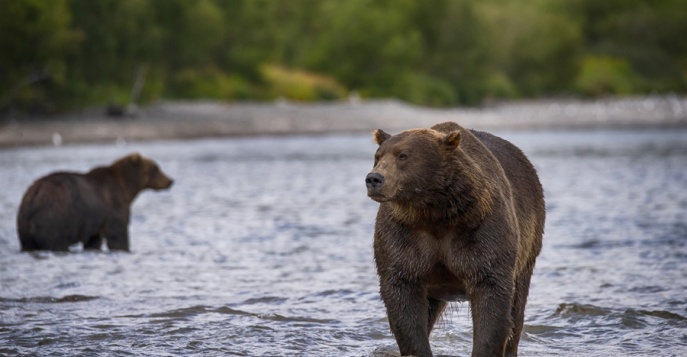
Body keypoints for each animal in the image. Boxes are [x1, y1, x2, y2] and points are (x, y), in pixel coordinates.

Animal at [17, 152, 173, 250]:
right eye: (156, 168)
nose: (170, 180)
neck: (127, 187)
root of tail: (33, 197)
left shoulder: (95, 222)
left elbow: (94, 241)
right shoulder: (114, 205)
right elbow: (118, 234)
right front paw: (124, 247)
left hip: (24, 227)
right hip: (54, 217)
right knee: (56, 241)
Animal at [366, 121, 544, 354]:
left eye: (403, 156)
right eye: (378, 156)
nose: (374, 178)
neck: (435, 213)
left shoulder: (481, 231)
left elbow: (492, 293)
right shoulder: (403, 235)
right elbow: (402, 293)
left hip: (529, 246)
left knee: (517, 308)